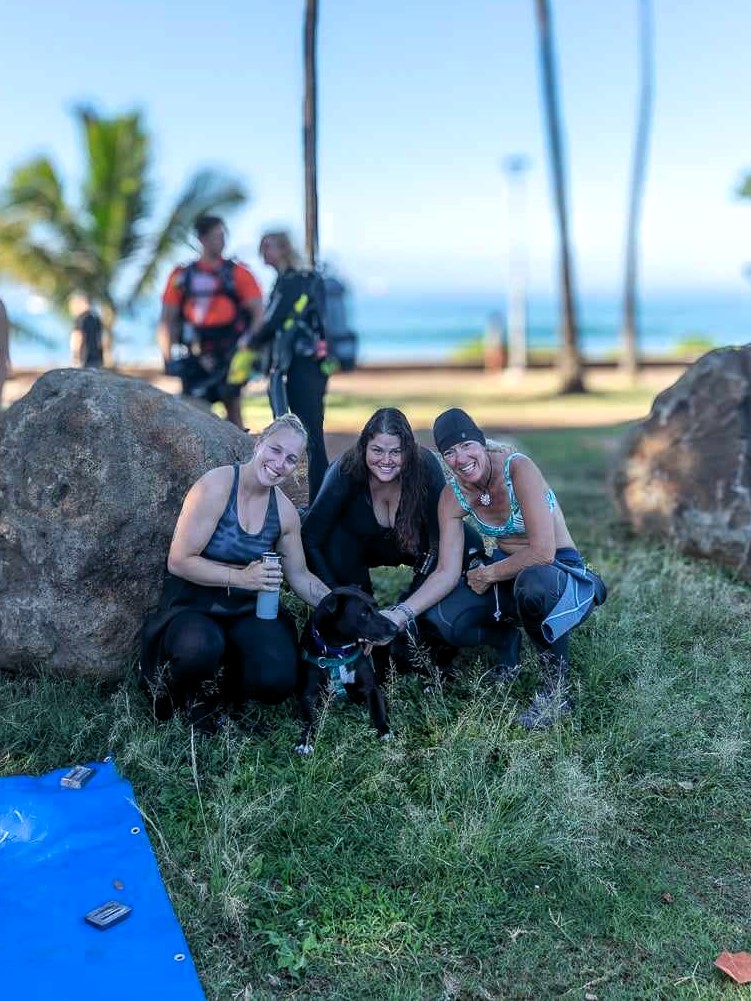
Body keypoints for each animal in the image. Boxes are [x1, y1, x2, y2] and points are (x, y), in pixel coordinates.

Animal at [296, 584, 400, 752]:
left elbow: (378, 711)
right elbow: (309, 720)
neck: (339, 652)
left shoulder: (372, 688)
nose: (395, 628)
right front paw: (305, 741)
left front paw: (384, 731)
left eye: (376, 607)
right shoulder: (308, 695)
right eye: (364, 613)